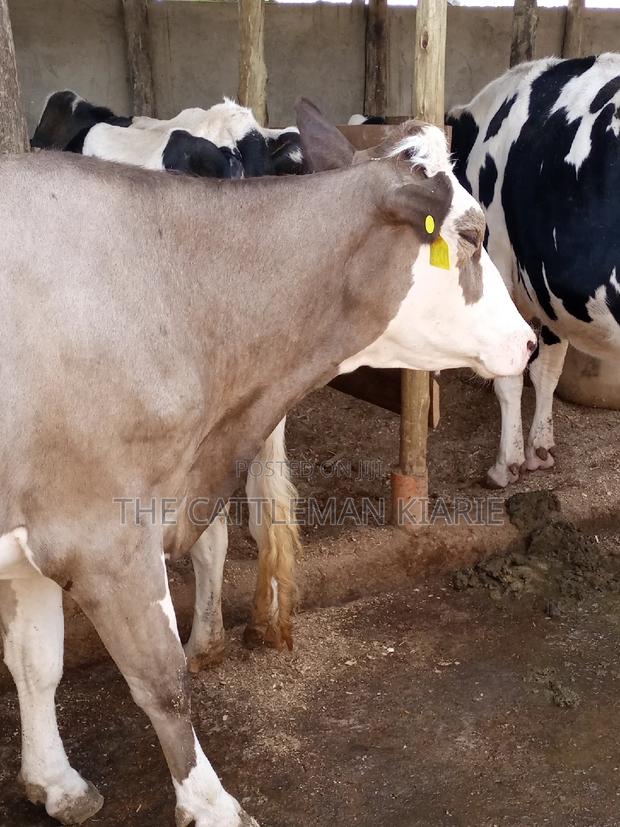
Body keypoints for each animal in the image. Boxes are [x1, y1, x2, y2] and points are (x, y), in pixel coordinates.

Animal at [0, 98, 534, 826]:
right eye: (475, 237)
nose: (531, 342)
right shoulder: (102, 534)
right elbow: (161, 680)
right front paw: (212, 805)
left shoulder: (35, 538)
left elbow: (36, 661)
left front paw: (55, 780)